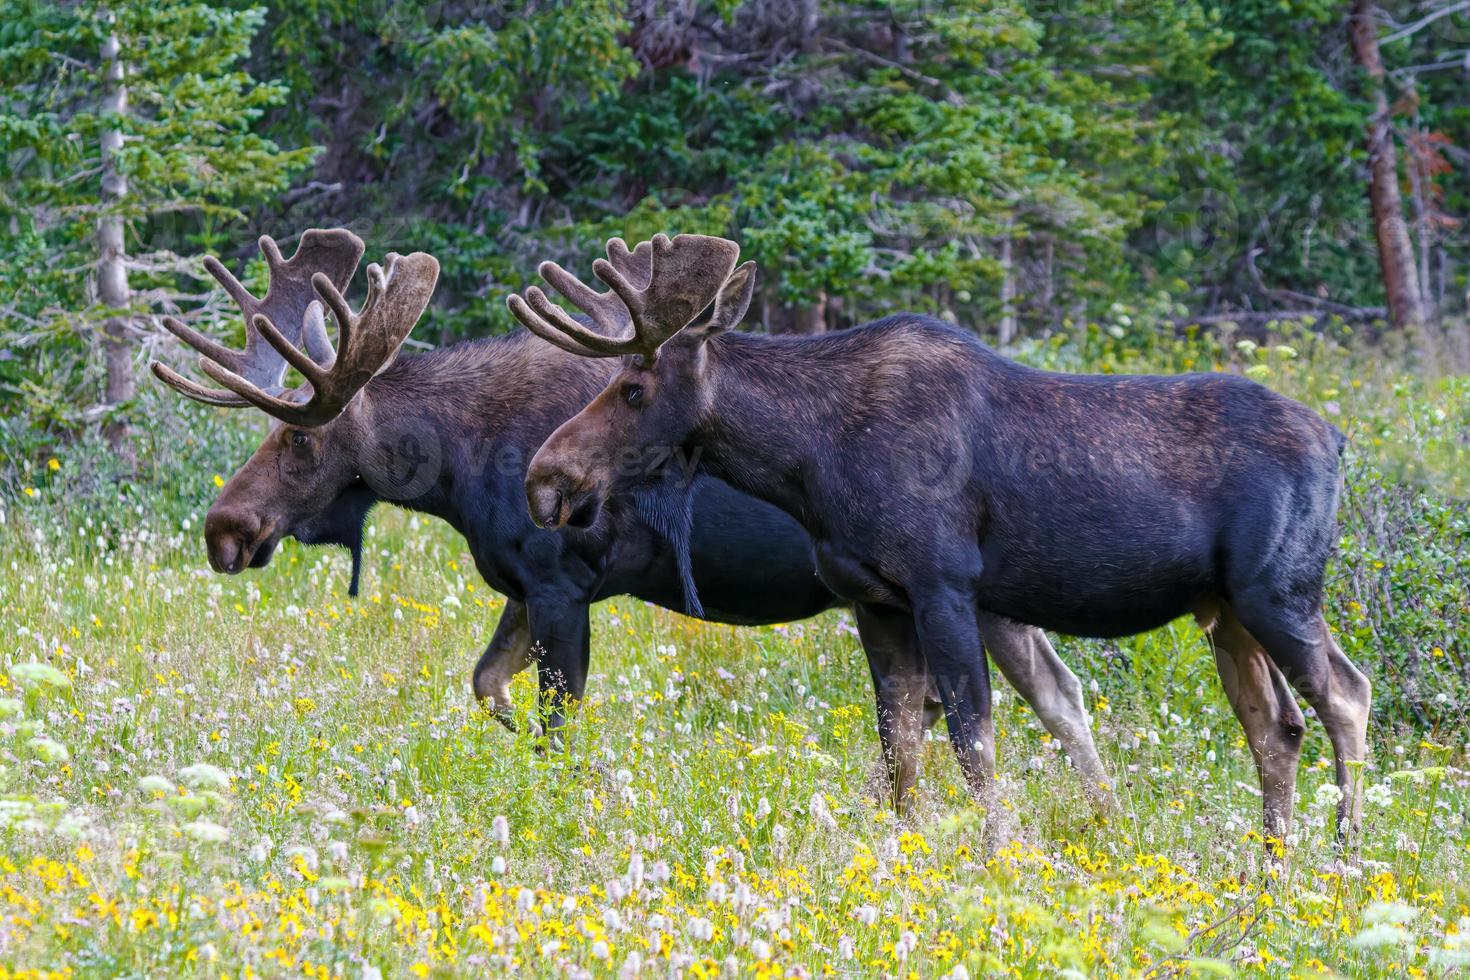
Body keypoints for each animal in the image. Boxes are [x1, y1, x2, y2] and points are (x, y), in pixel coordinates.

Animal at [152, 230, 1111, 805]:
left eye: (298, 440)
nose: (223, 529)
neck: (459, 465)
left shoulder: (558, 581)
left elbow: (554, 721)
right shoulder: (521, 587)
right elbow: (485, 684)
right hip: (986, 594)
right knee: (1059, 692)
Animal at [511, 232, 1370, 846]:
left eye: (633, 387)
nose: (545, 477)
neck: (806, 461)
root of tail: (1337, 439)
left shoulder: (944, 584)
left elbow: (971, 743)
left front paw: (1000, 855)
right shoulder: (876, 601)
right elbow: (900, 751)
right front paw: (905, 854)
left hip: (1279, 590)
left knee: (1345, 695)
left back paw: (1344, 852)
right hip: (1224, 608)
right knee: (1275, 727)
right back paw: (1270, 860)